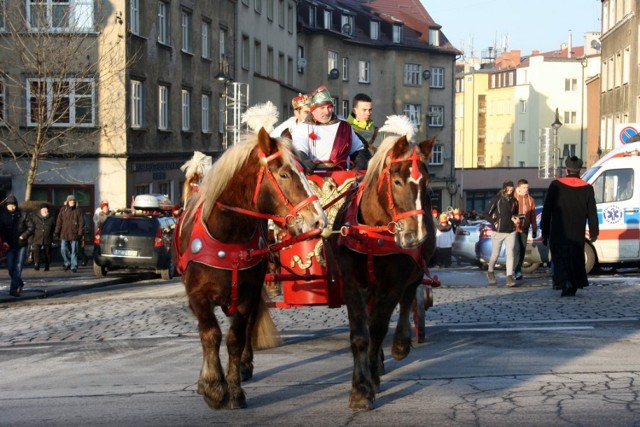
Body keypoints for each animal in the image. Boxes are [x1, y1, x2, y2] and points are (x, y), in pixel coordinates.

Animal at [174, 122, 324, 410]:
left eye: (305, 171)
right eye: (284, 174)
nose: (317, 220)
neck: (228, 236)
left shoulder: (246, 295)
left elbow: (235, 338)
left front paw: (233, 389)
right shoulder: (198, 296)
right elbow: (210, 334)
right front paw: (212, 386)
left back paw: (244, 365)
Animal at [332, 116, 438, 412]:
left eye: (426, 183)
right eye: (398, 181)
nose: (415, 235)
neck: (373, 232)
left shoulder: (393, 283)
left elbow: (378, 328)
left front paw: (370, 381)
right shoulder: (351, 282)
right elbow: (360, 334)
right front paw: (359, 389)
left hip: (414, 273)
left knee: (408, 299)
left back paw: (399, 345)